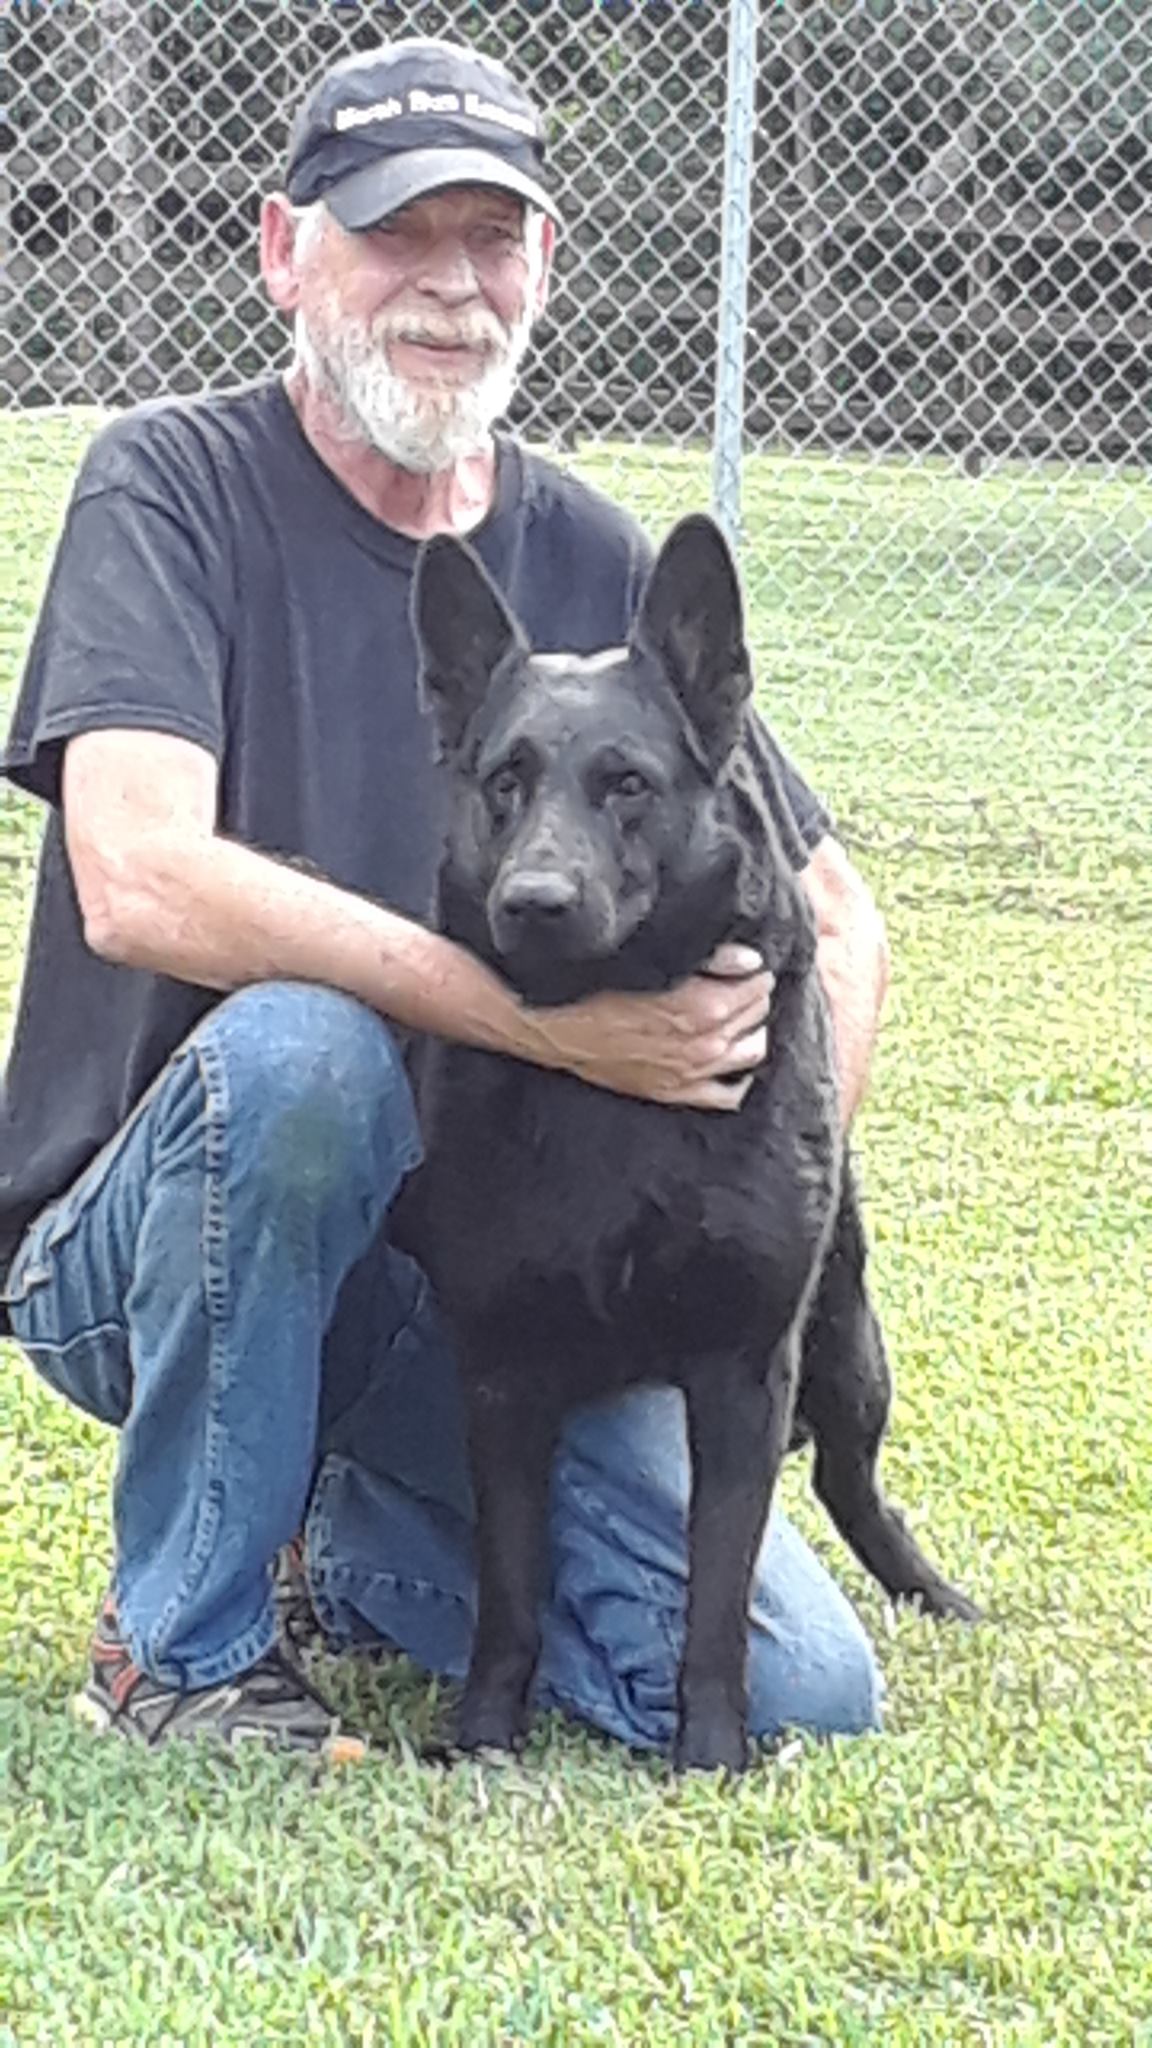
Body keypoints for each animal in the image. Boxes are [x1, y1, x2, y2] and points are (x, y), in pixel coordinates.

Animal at [399, 516, 971, 1777]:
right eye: (505, 781)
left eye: (627, 784)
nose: (535, 903)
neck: (612, 1092)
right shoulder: (500, 1373)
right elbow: (510, 1590)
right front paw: (484, 1736)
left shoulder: (743, 1370)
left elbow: (718, 1587)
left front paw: (709, 1749)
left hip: (848, 1355)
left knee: (858, 1487)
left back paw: (933, 1591)